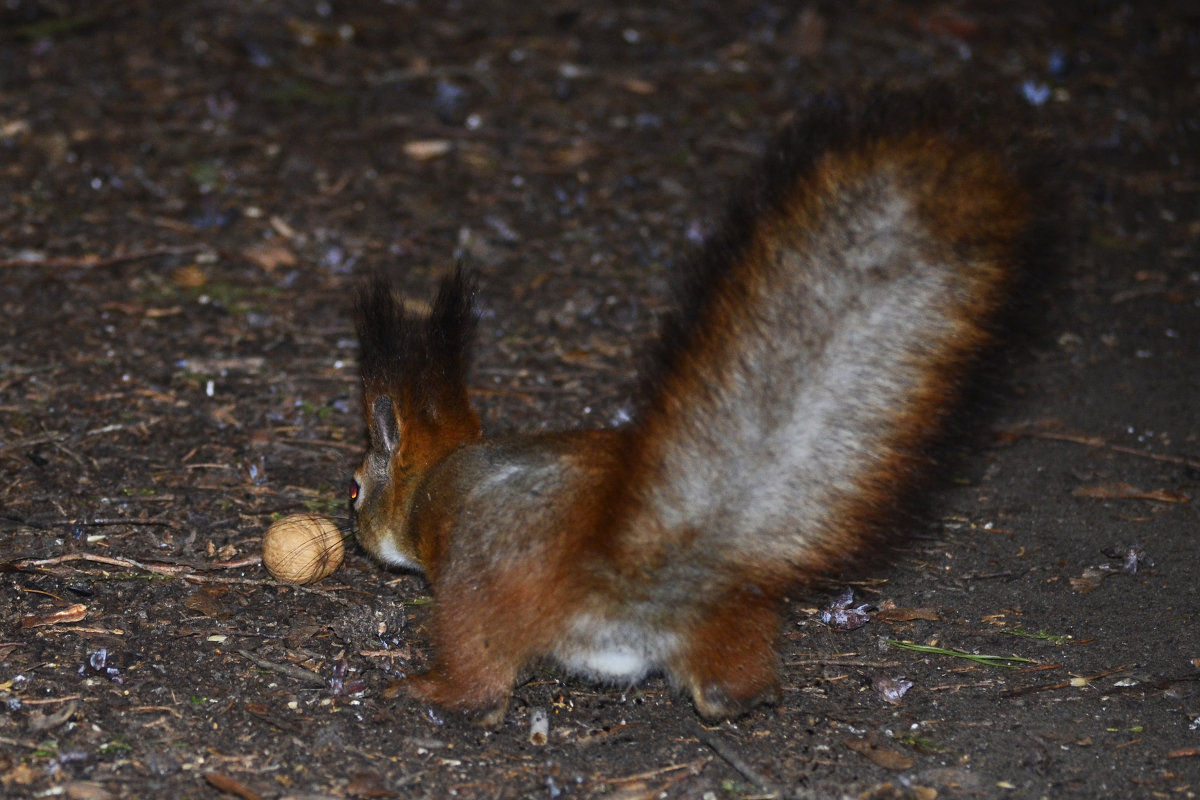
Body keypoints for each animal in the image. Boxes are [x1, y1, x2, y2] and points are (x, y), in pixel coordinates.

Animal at [348, 92, 1032, 724]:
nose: (357, 533)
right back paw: (742, 696)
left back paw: (430, 691)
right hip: (735, 615)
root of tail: (632, 577)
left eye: (354, 488)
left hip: (478, 596)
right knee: (732, 678)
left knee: (482, 680)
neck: (436, 477)